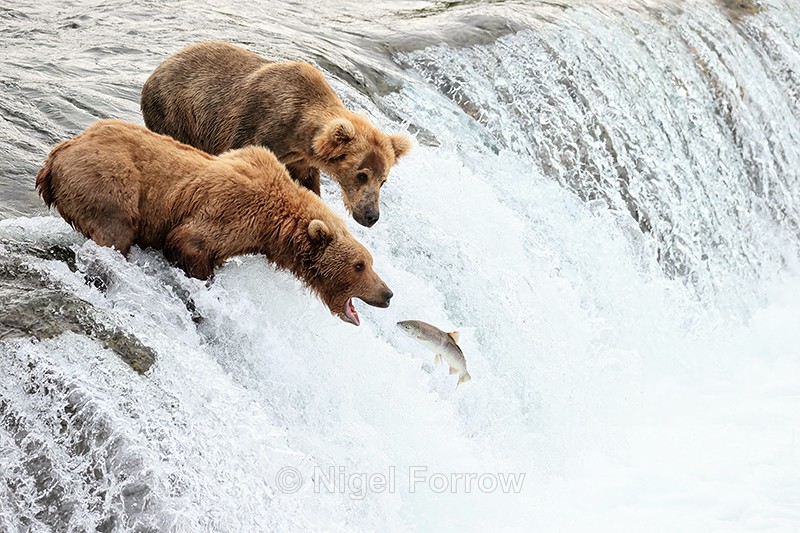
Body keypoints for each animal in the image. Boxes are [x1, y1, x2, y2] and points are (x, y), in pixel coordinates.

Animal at [35, 120, 393, 326]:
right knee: (115, 232)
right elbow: (187, 241)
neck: (274, 228)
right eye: (359, 265)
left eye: (370, 262)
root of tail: (55, 157)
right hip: (108, 181)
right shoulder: (229, 211)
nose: (388, 293)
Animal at [140, 41, 413, 228]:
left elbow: (308, 184)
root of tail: (158, 68)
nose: (371, 215)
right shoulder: (255, 126)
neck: (297, 131)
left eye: (383, 179)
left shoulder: (300, 159)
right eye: (361, 175)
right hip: (176, 112)